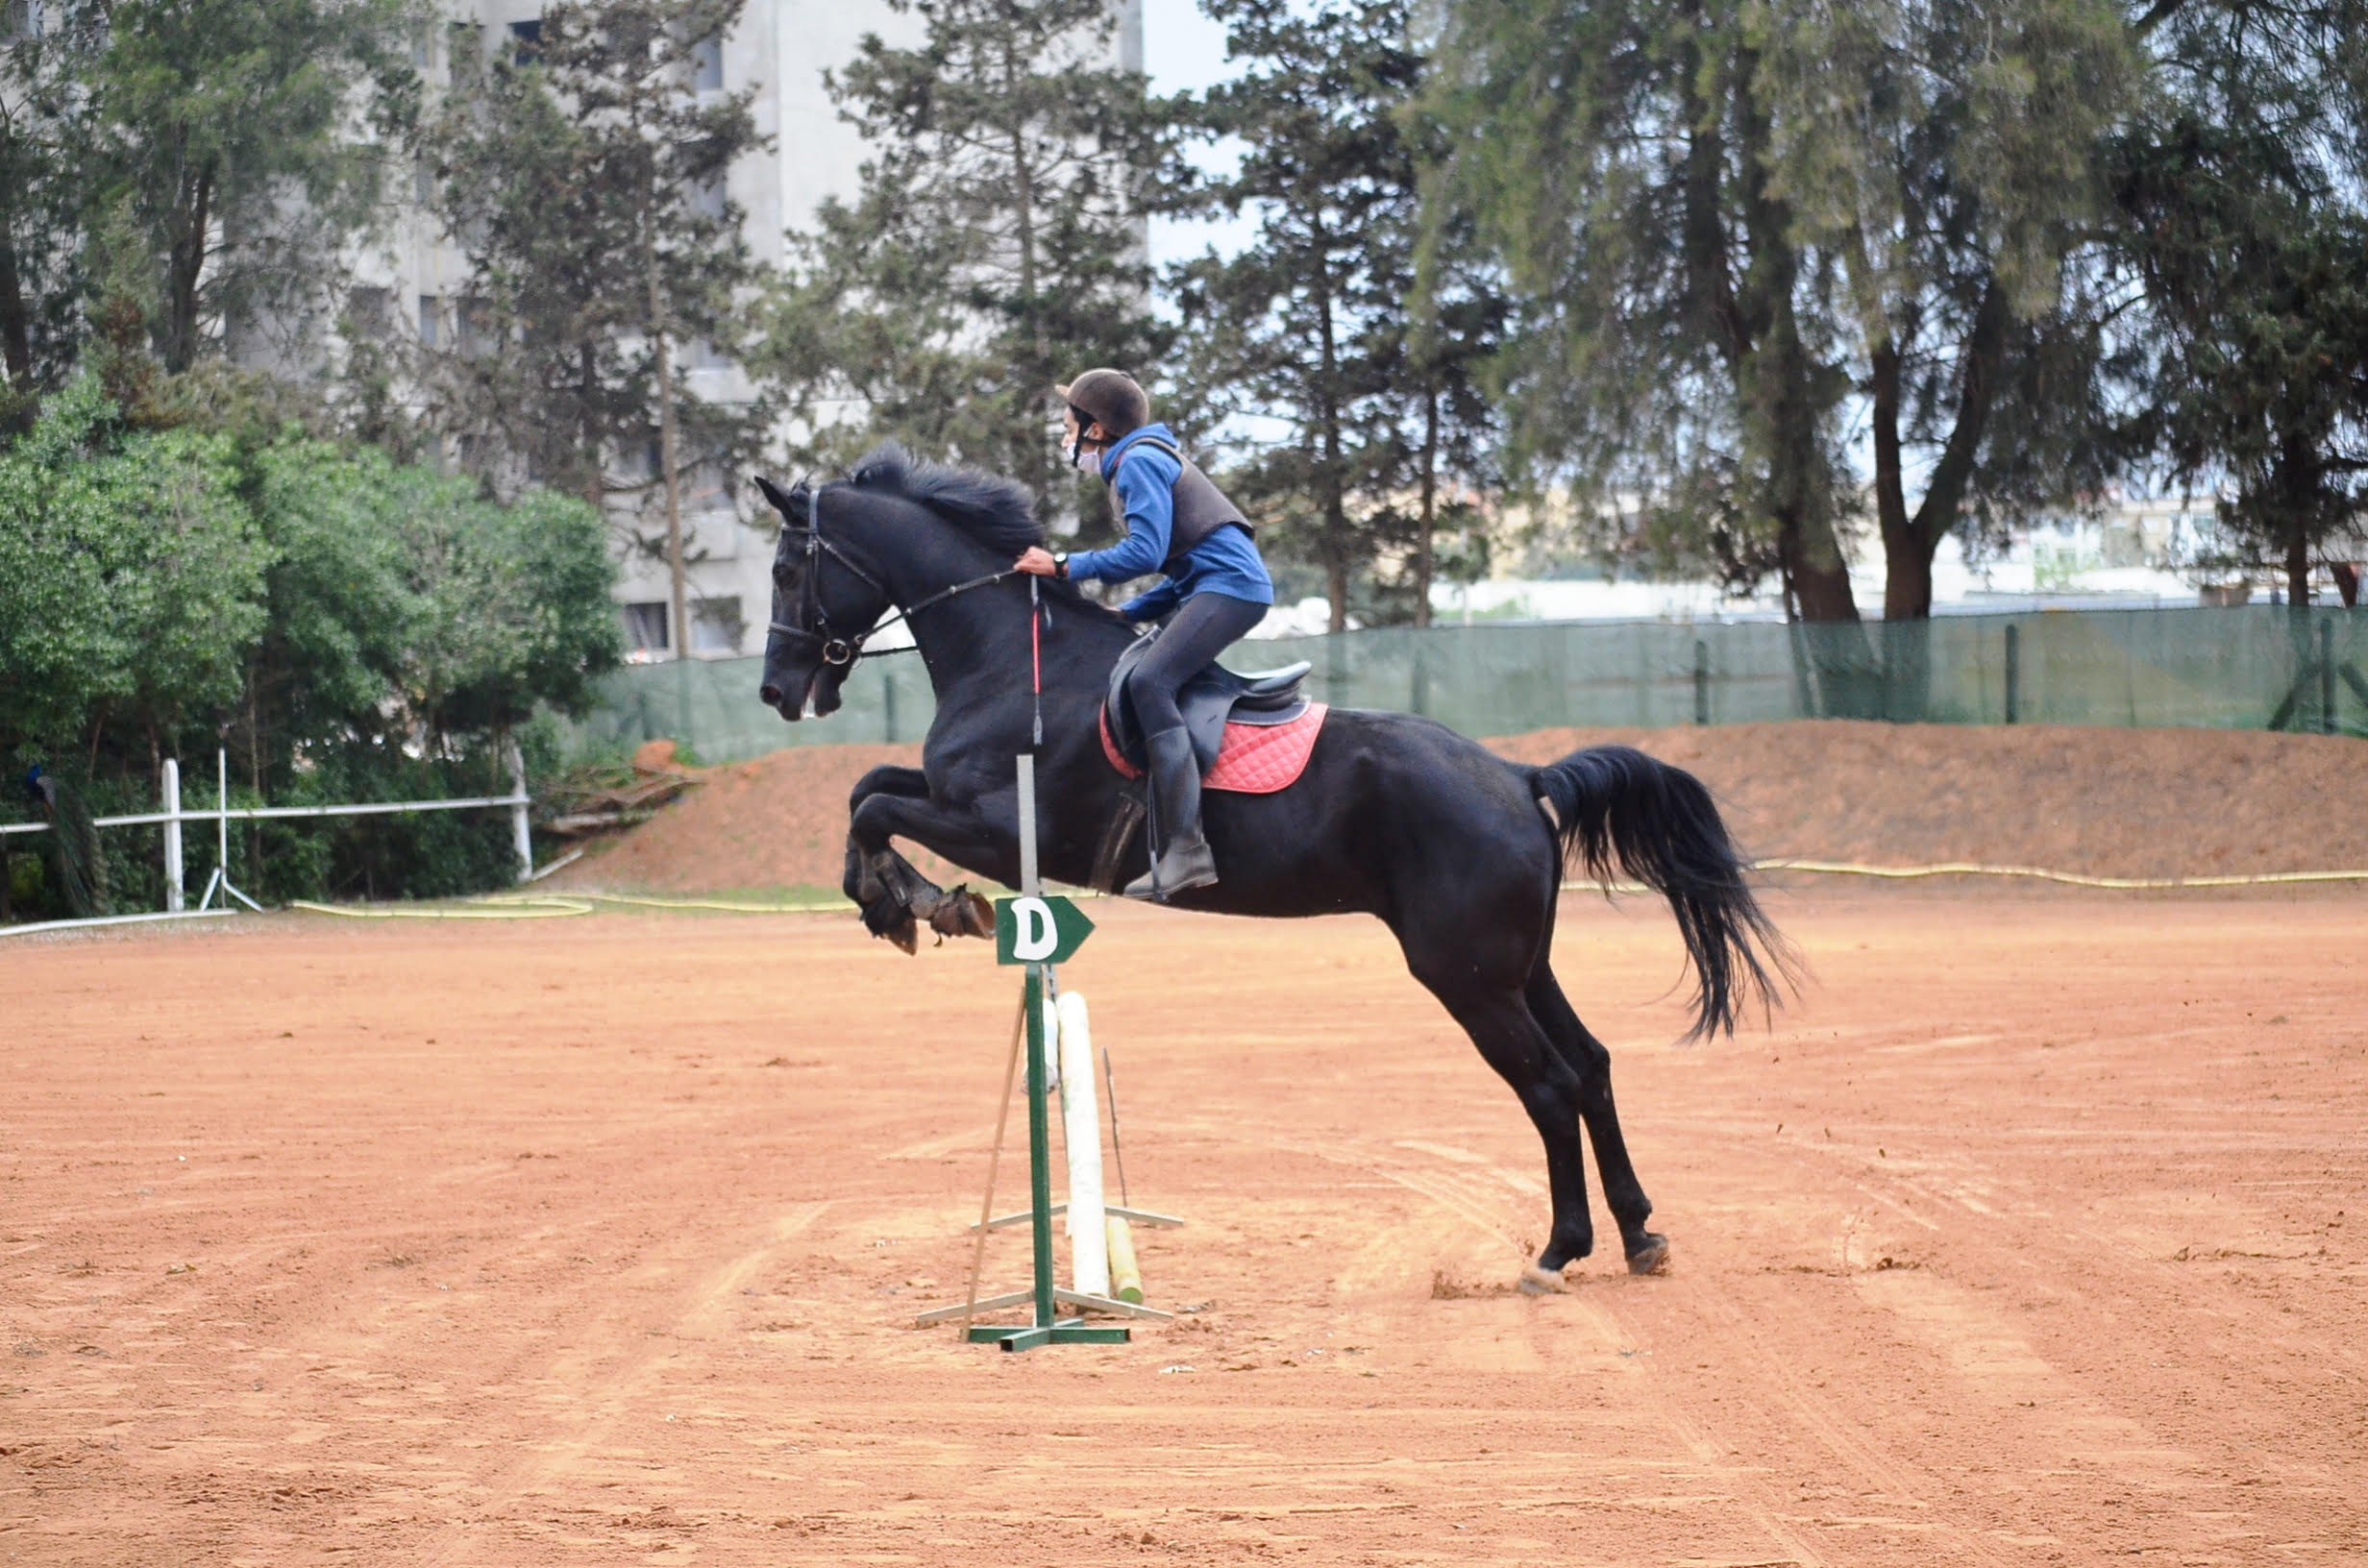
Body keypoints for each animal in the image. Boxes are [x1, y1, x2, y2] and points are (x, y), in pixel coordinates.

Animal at [762, 445, 1789, 1288]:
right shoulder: (955, 799)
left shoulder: (996, 824)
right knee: (1594, 1066)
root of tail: (1518, 775)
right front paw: (904, 901)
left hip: (1465, 975)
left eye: (785, 569)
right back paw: (1638, 1234)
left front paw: (911, 902)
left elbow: (875, 807)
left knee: (1549, 1085)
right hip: (1518, 966)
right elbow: (868, 789)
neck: (1013, 656)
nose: (777, 691)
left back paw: (1558, 1250)